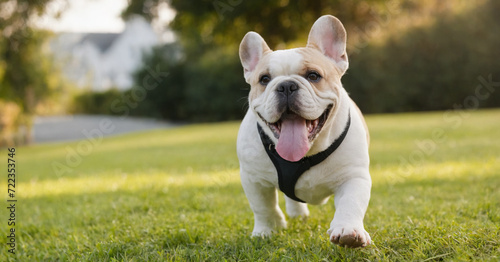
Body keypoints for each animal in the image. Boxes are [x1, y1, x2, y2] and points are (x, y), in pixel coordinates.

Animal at [237, 14, 372, 248]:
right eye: (264, 79)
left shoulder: (354, 176)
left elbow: (351, 203)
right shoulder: (253, 179)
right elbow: (263, 207)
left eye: (313, 76)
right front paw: (266, 231)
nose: (286, 85)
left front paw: (348, 231)